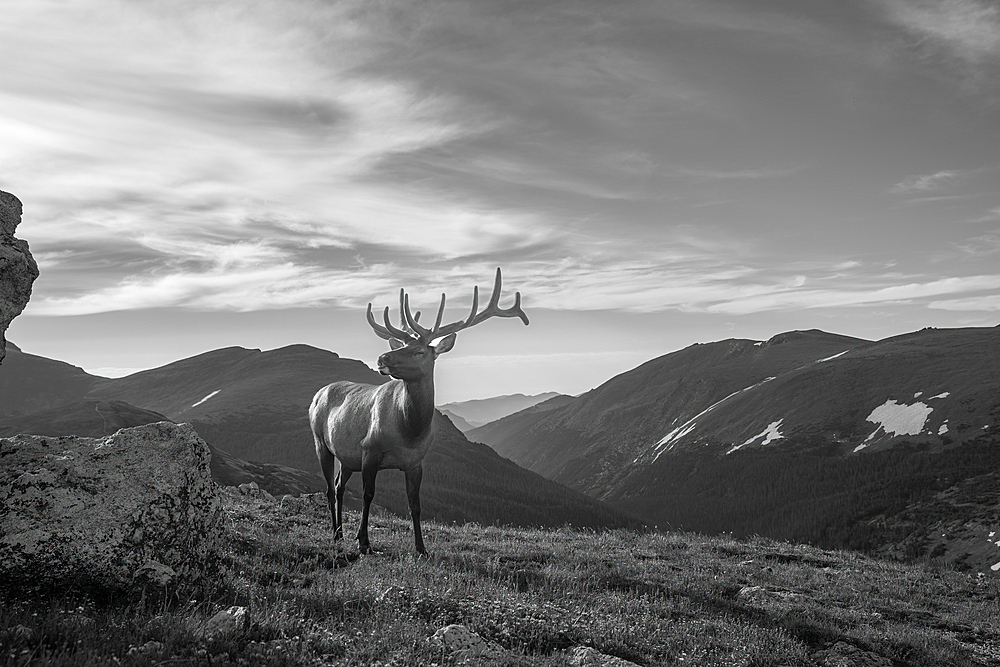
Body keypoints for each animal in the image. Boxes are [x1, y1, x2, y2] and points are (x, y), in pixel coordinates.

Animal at [306, 268, 528, 556]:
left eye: (419, 351)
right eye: (400, 346)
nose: (382, 358)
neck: (410, 430)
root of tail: (317, 394)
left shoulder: (415, 462)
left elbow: (415, 504)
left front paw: (421, 548)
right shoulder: (369, 450)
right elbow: (368, 495)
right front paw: (364, 541)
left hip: (347, 455)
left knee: (338, 485)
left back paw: (340, 532)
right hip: (320, 441)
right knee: (330, 489)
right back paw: (336, 533)